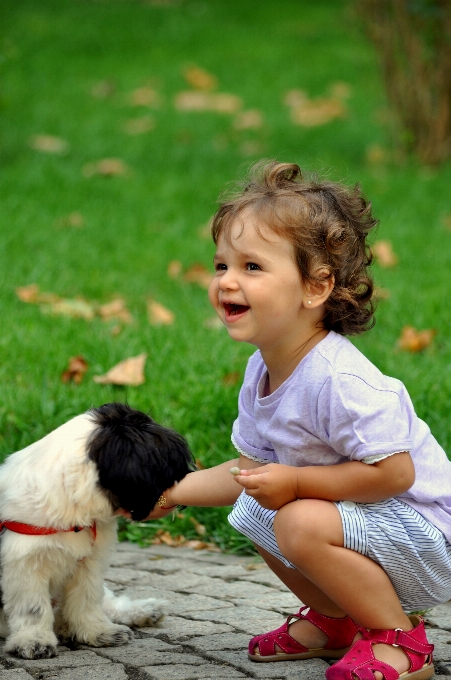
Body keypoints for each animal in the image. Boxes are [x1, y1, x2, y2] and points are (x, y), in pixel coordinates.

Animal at [0, 404, 192, 660]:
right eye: (169, 465)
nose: (188, 478)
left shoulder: (89, 562)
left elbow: (87, 599)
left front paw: (97, 631)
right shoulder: (25, 563)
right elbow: (33, 607)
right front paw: (33, 640)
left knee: (108, 602)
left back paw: (143, 611)